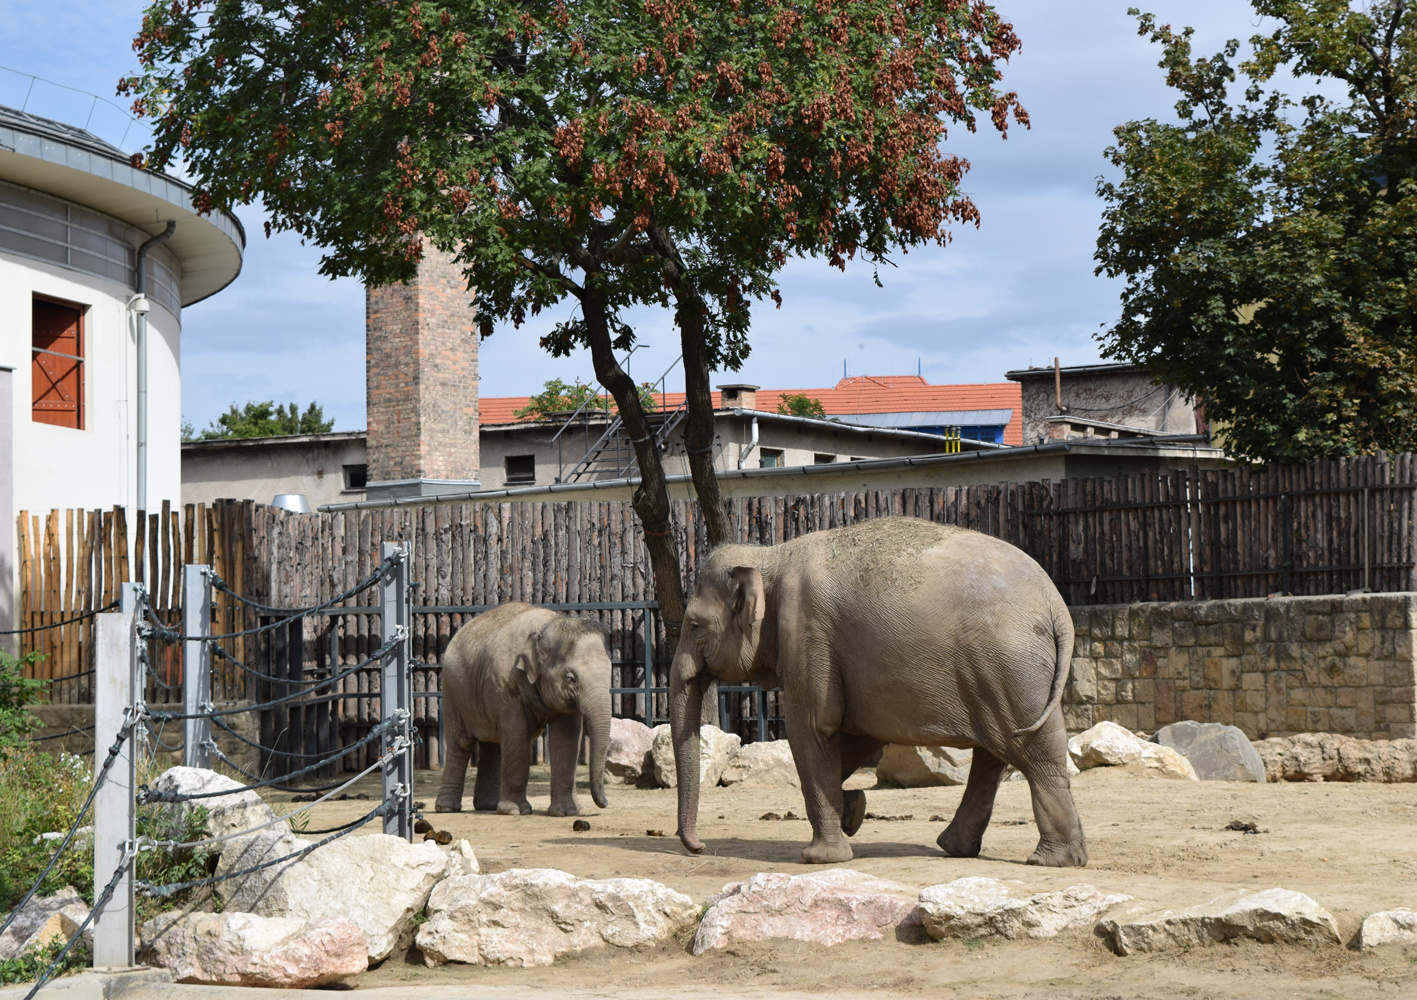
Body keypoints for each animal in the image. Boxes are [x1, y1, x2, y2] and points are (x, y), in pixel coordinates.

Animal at [430, 603, 609, 815]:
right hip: (453, 691)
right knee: (461, 743)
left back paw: (488, 806)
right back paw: (447, 808)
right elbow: (517, 735)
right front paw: (516, 810)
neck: (547, 626)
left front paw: (567, 812)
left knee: (493, 744)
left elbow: (566, 739)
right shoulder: (504, 683)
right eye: (570, 678)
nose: (605, 803)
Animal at [663, 518, 1082, 861]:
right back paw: (959, 848)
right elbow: (854, 736)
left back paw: (1050, 860)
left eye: (695, 625)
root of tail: (1055, 603)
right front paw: (855, 811)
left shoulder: (806, 634)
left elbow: (812, 729)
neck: (770, 556)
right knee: (994, 755)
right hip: (1006, 673)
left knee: (1033, 753)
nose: (700, 847)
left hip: (1009, 668)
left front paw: (822, 857)